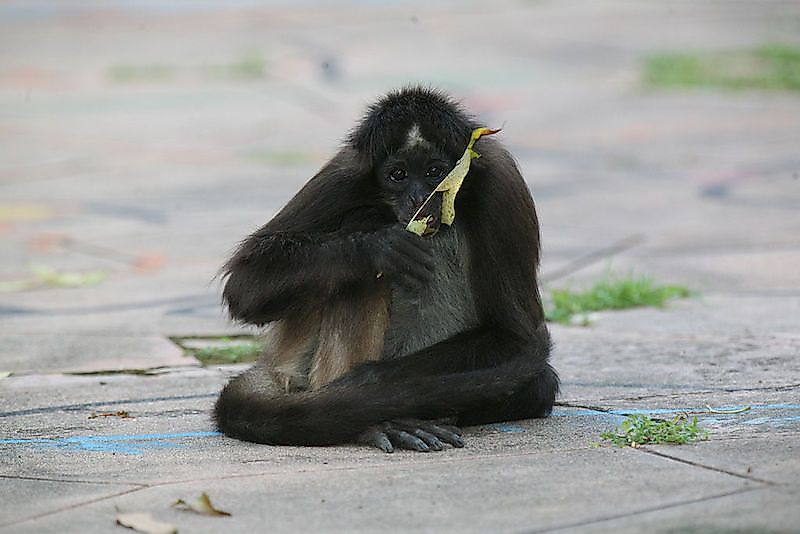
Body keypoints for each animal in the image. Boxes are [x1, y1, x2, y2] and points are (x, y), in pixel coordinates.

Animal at [216, 87, 560, 452]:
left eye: (435, 172)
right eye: (398, 175)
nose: (420, 199)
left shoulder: (500, 180)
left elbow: (513, 332)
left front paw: (369, 382)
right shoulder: (346, 172)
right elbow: (246, 283)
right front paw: (376, 250)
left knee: (540, 384)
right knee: (363, 233)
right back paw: (371, 420)